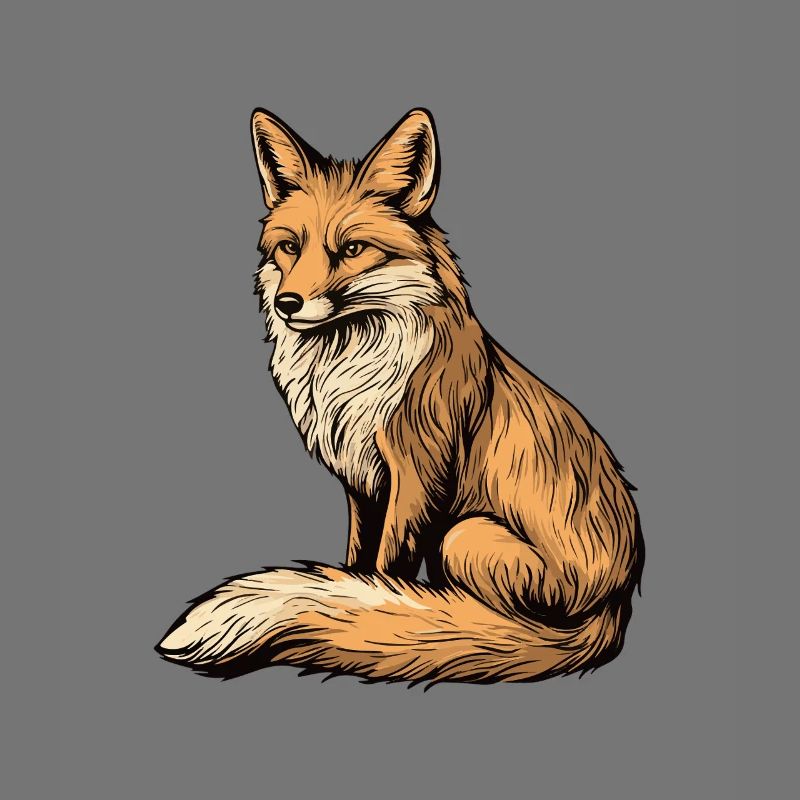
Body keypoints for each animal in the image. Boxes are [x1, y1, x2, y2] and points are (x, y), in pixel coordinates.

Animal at [156, 107, 644, 684]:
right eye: (290, 246)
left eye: (351, 249)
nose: (287, 303)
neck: (347, 372)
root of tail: (617, 603)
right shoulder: (361, 482)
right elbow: (359, 564)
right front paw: (356, 599)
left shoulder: (416, 474)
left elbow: (387, 571)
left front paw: (382, 611)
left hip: (465, 535)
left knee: (503, 619)